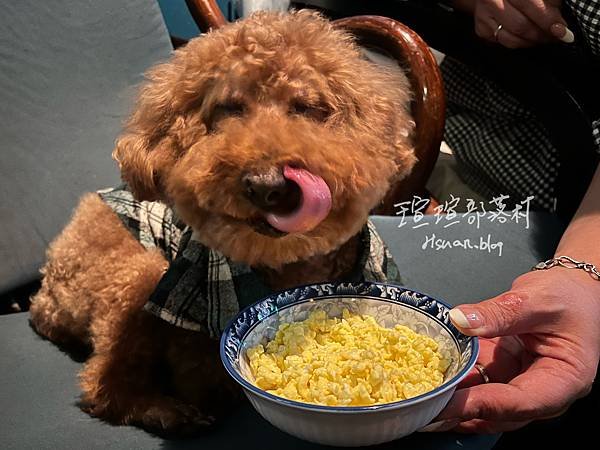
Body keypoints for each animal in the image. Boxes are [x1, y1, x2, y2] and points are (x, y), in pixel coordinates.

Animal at [27, 10, 412, 438]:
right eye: (229, 108)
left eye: (306, 106)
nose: (267, 185)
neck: (290, 264)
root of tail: (43, 296)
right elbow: (200, 372)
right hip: (138, 274)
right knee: (104, 386)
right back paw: (166, 411)